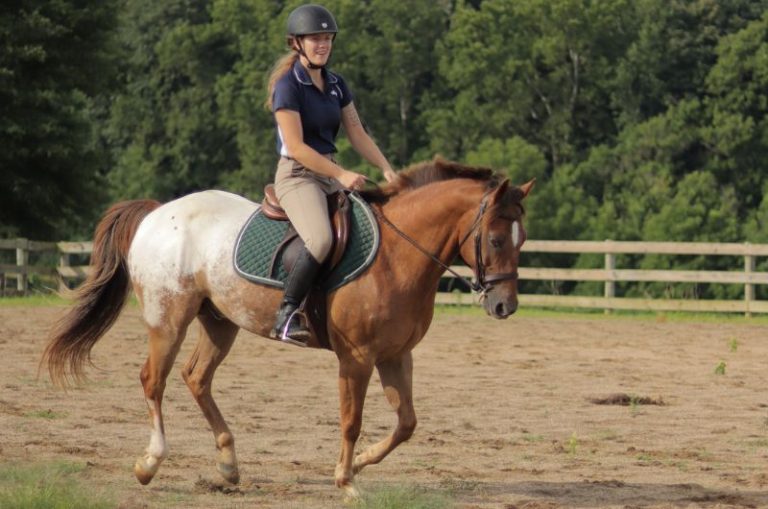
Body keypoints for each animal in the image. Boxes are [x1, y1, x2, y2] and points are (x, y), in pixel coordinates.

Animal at [42, 157, 534, 496]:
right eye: (494, 239)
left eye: (521, 240)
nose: (504, 306)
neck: (399, 254)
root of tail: (157, 213)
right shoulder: (356, 357)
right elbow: (351, 419)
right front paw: (347, 482)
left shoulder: (396, 354)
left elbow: (407, 422)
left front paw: (362, 463)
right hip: (169, 320)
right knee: (153, 380)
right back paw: (150, 463)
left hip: (219, 321)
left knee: (196, 378)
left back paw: (228, 465)